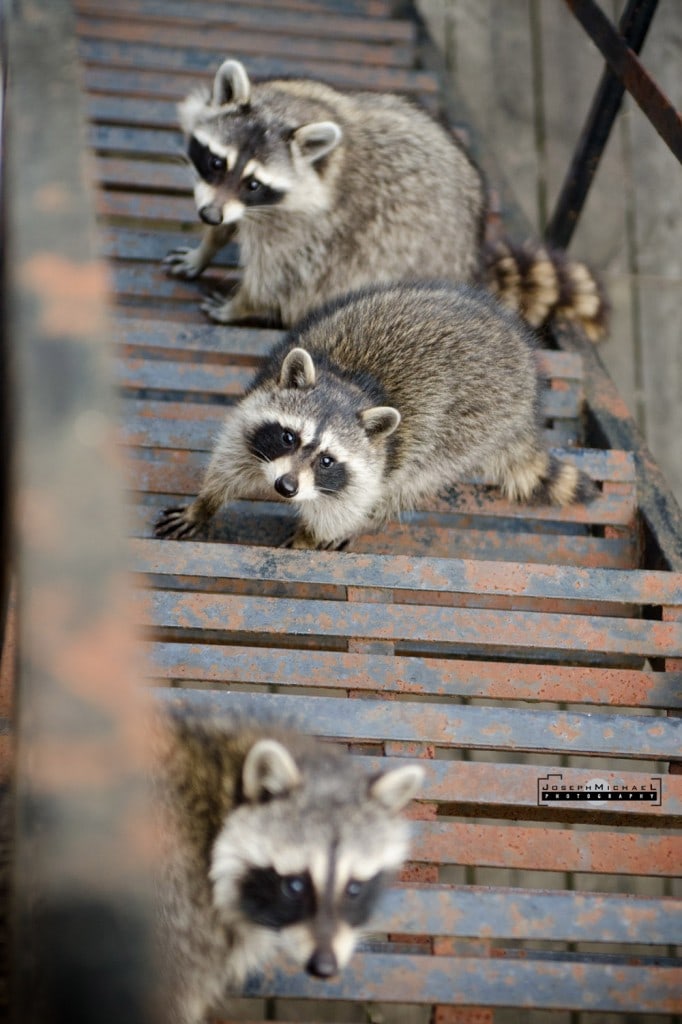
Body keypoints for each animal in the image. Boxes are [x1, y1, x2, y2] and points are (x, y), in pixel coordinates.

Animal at [153, 280, 593, 552]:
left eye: (327, 460)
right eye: (288, 437)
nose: (286, 487)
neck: (350, 385)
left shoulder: (372, 466)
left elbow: (342, 508)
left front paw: (309, 538)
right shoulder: (257, 407)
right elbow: (230, 461)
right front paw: (205, 503)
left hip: (472, 431)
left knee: (410, 479)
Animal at [163, 58, 606, 339]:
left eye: (253, 184)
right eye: (216, 162)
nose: (209, 215)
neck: (290, 108)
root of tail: (468, 263)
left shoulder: (310, 229)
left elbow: (278, 276)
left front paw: (242, 304)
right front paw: (208, 246)